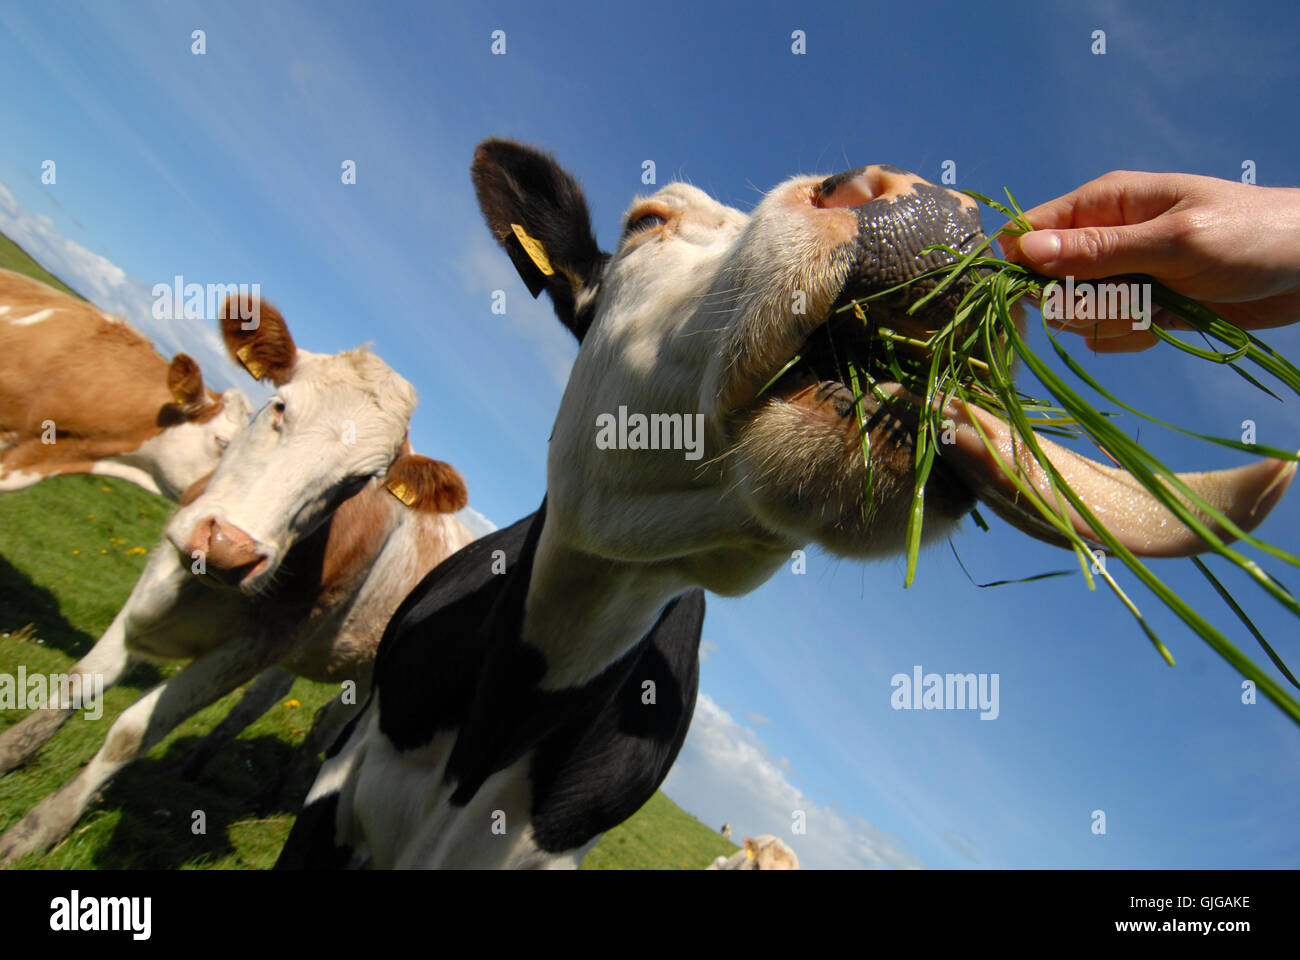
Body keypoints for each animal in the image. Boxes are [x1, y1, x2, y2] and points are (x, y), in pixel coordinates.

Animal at [0, 297, 473, 858]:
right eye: (280, 407)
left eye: (359, 481)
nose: (228, 547)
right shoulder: (161, 577)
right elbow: (80, 680)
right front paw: (12, 751)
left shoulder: (255, 646)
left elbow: (132, 731)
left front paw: (38, 827)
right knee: (257, 705)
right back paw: (197, 763)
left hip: (365, 677)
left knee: (326, 728)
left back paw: (273, 795)